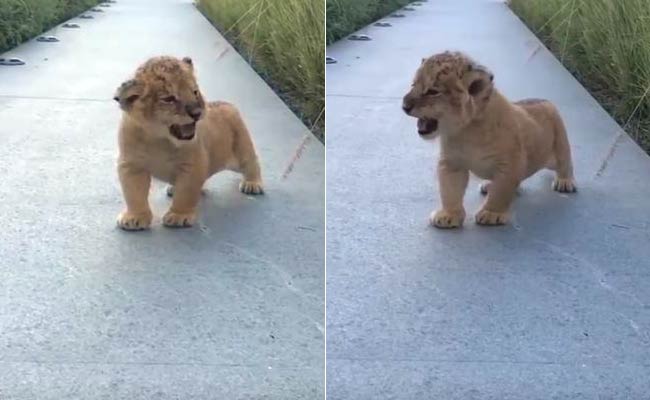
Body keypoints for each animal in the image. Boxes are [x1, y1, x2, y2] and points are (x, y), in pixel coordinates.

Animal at [113, 56, 264, 231]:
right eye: (169, 99)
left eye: (195, 92)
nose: (197, 113)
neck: (159, 140)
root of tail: (226, 103)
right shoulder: (131, 165)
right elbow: (134, 193)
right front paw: (134, 218)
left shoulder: (192, 165)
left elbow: (186, 193)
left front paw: (179, 217)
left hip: (241, 149)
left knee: (251, 163)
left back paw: (252, 184)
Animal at [402, 51, 576, 228]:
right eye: (413, 85)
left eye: (433, 91)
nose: (405, 107)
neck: (466, 132)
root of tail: (544, 100)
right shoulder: (451, 163)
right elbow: (450, 191)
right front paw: (448, 215)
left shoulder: (510, 164)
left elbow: (500, 192)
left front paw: (491, 214)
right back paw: (490, 185)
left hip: (559, 145)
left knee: (565, 164)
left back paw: (564, 182)